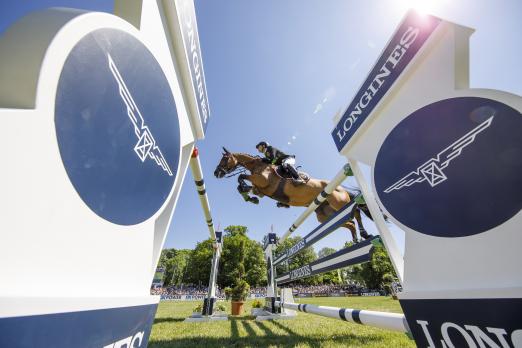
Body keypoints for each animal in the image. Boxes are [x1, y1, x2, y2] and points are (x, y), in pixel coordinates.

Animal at [212, 148, 370, 243]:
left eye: (224, 159)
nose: (216, 173)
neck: (258, 166)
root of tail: (341, 188)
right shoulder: (260, 189)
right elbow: (243, 187)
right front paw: (251, 198)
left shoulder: (262, 180)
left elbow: (241, 177)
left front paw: (247, 192)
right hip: (325, 215)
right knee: (349, 222)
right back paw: (356, 239)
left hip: (339, 202)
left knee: (356, 211)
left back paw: (364, 234)